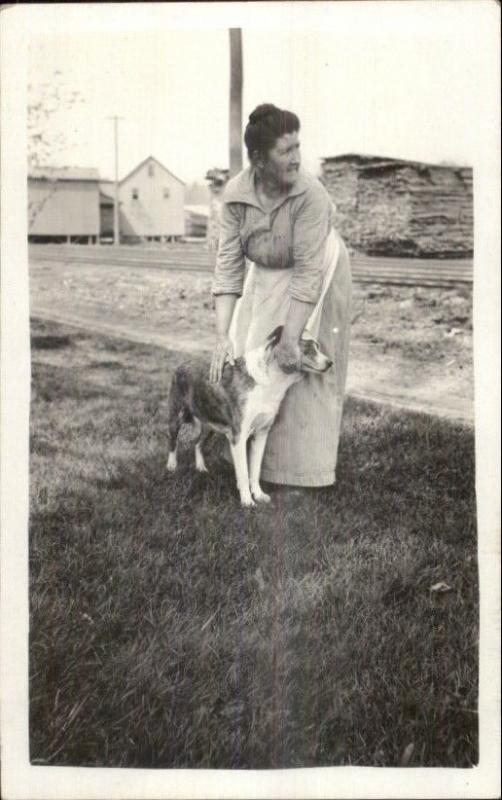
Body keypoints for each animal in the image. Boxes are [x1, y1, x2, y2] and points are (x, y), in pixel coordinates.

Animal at [167, 324, 334, 506]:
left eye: (318, 347)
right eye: (309, 348)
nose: (330, 363)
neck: (272, 380)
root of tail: (182, 364)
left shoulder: (261, 433)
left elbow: (255, 470)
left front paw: (258, 494)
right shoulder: (238, 437)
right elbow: (243, 472)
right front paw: (247, 500)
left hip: (210, 424)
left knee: (197, 443)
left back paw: (200, 467)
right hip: (177, 416)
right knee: (173, 441)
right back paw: (171, 466)